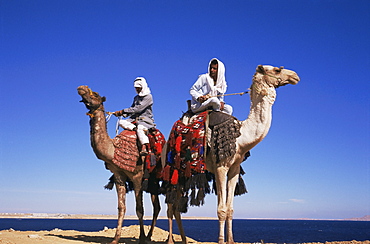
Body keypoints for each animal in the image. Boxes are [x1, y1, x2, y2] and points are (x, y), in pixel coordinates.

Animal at [76, 86, 160, 244]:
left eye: (95, 94)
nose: (81, 88)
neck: (114, 149)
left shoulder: (137, 176)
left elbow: (139, 209)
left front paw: (141, 237)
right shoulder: (118, 175)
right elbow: (121, 207)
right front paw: (115, 239)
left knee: (159, 206)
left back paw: (150, 237)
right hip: (152, 181)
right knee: (157, 206)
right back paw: (150, 236)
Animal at [165, 63, 300, 243]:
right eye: (277, 69)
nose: (295, 76)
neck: (241, 137)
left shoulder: (234, 169)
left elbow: (230, 209)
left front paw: (231, 240)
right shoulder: (221, 167)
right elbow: (221, 209)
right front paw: (221, 240)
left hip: (184, 173)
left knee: (177, 206)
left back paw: (184, 239)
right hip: (172, 167)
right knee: (170, 205)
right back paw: (170, 240)